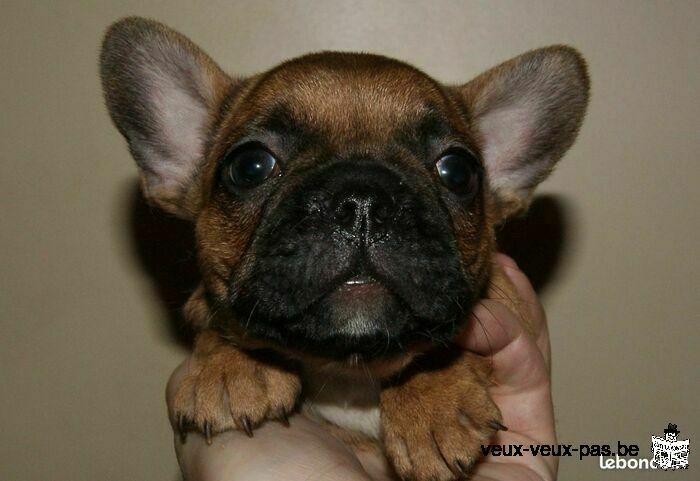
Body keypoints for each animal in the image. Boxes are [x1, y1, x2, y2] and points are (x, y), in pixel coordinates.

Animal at [101, 16, 588, 478]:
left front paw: (435, 403)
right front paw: (228, 366)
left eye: (458, 172)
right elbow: (221, 320)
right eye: (250, 166)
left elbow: (442, 343)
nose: (362, 201)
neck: (351, 369)